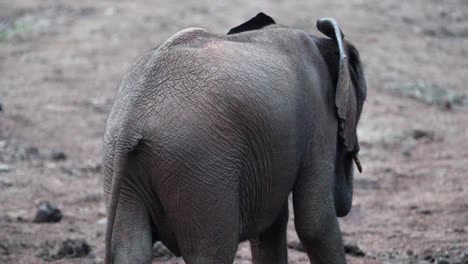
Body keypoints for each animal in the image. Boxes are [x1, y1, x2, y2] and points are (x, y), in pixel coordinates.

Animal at [102, 12, 366, 264]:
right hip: (200, 168)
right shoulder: (319, 117)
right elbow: (315, 223)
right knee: (211, 253)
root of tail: (131, 121)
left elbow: (271, 226)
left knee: (130, 251)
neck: (319, 39)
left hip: (120, 163)